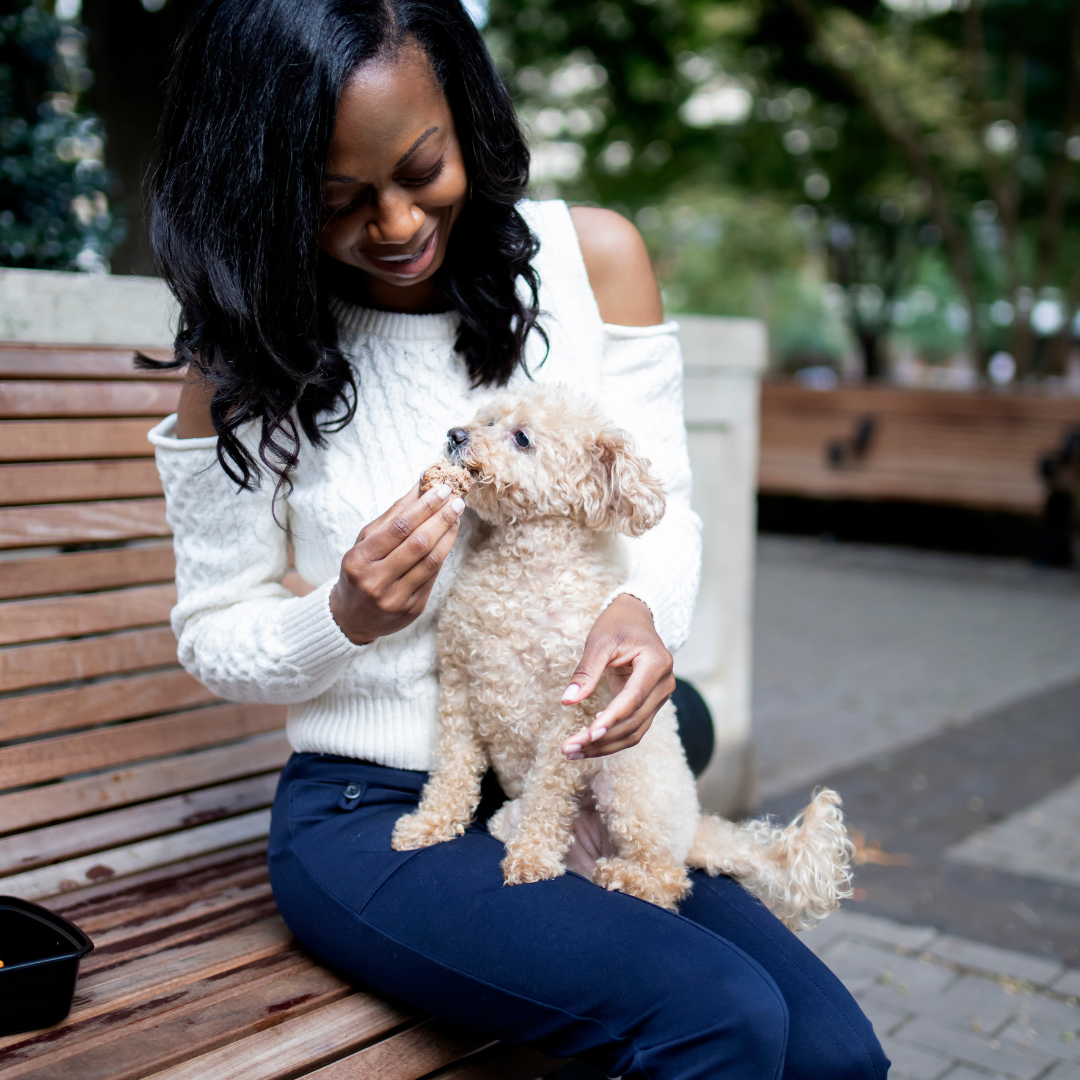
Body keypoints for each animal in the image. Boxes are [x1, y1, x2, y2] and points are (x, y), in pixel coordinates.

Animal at [393, 388, 855, 928]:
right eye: (486, 418)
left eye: (522, 437)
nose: (455, 434)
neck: (523, 569)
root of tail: (695, 829)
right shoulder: (459, 687)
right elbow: (452, 769)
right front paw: (430, 825)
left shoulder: (574, 713)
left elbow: (548, 794)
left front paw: (532, 857)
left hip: (631, 789)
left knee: (669, 879)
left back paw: (622, 875)